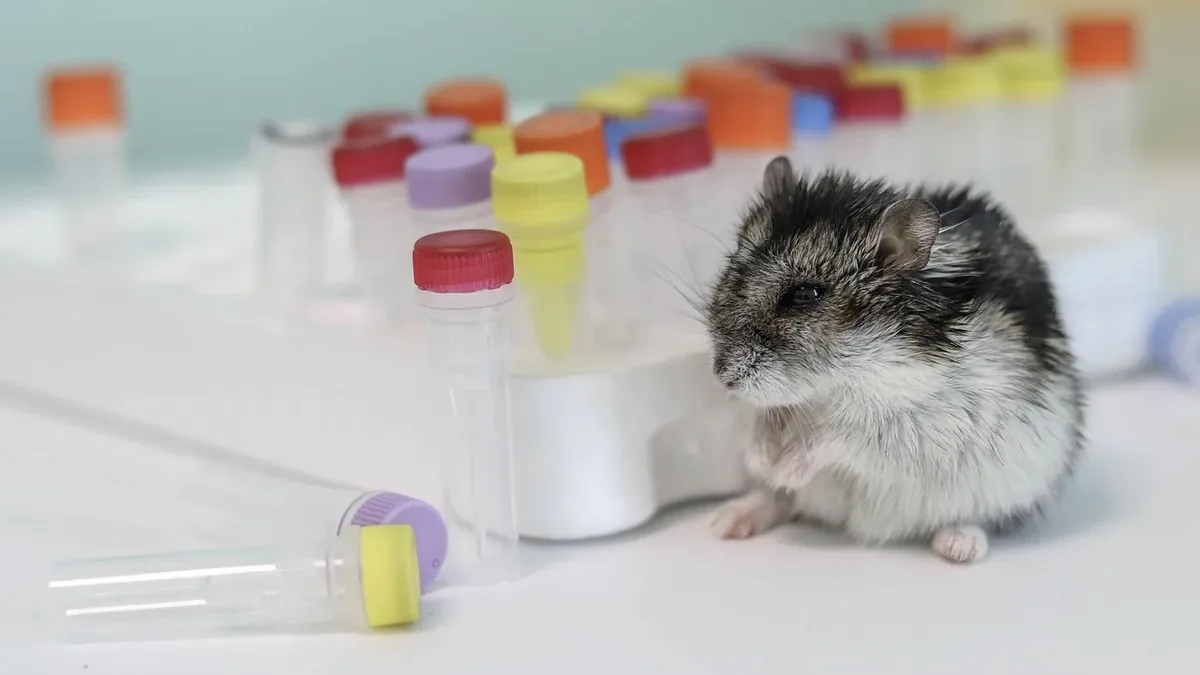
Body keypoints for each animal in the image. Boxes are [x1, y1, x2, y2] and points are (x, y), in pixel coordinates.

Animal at [704, 157, 1085, 564]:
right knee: (781, 503)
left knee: (980, 517)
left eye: (805, 294)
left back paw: (958, 547)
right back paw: (728, 520)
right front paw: (762, 459)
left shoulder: (928, 423)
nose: (722, 379)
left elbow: (839, 435)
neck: (838, 381)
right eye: (733, 267)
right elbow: (763, 416)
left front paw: (784, 468)